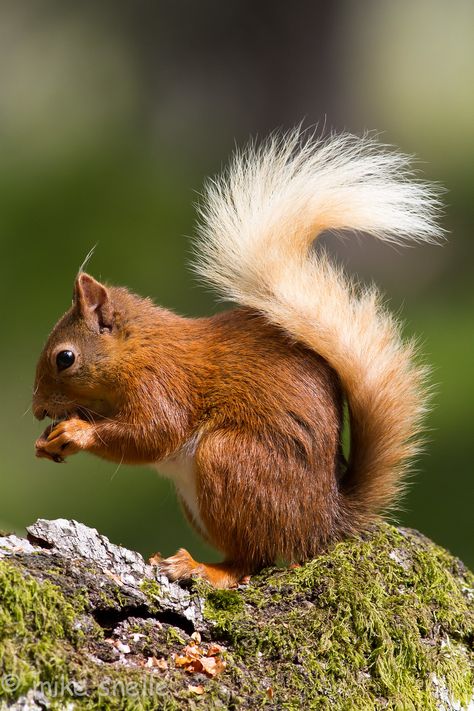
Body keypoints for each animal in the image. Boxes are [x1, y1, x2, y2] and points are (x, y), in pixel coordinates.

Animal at [31, 131, 442, 588]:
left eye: (65, 358)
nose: (37, 410)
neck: (139, 350)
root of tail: (322, 524)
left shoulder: (163, 383)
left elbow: (154, 433)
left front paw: (76, 432)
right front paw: (46, 441)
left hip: (230, 461)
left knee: (252, 559)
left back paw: (203, 569)